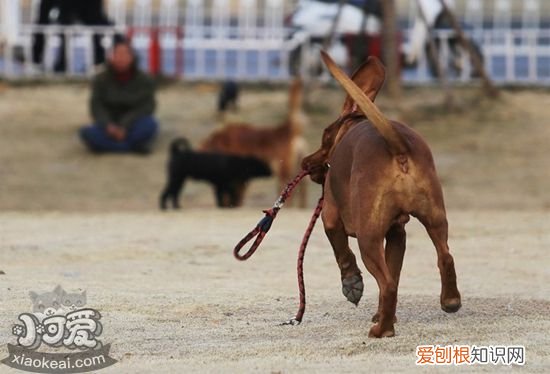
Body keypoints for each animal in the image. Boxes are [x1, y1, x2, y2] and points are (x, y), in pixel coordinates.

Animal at [304, 53, 464, 338]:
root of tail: (397, 146)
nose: (305, 162)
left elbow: (342, 253)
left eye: (325, 137)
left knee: (387, 284)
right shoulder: (397, 233)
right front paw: (380, 312)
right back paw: (449, 301)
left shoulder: (330, 217)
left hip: (368, 237)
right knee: (444, 257)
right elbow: (394, 271)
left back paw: (382, 330)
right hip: (435, 218)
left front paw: (352, 284)